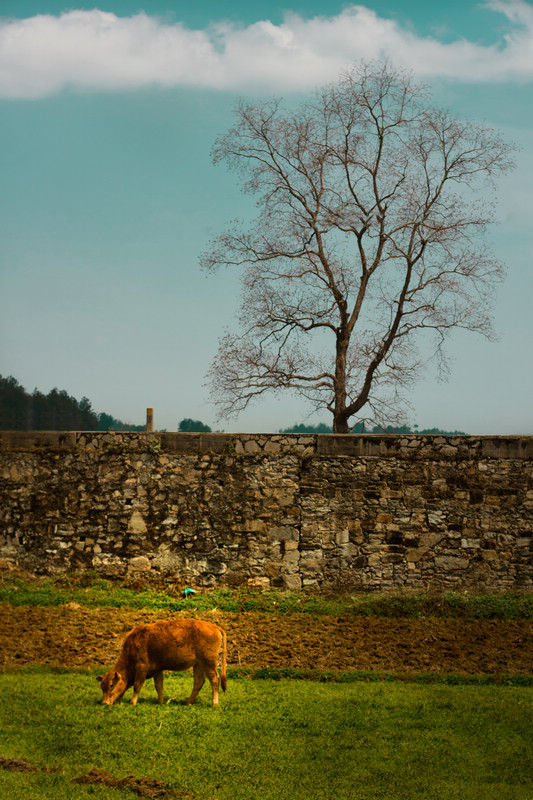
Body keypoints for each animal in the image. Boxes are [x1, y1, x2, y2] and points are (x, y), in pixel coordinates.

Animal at [96, 620, 225, 708]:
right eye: (102, 686)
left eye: (111, 685)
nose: (104, 703)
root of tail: (213, 626)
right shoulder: (157, 670)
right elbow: (159, 686)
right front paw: (160, 702)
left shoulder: (142, 667)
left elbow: (137, 685)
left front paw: (132, 703)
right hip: (198, 664)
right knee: (198, 682)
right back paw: (188, 702)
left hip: (208, 663)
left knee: (214, 679)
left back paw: (214, 703)